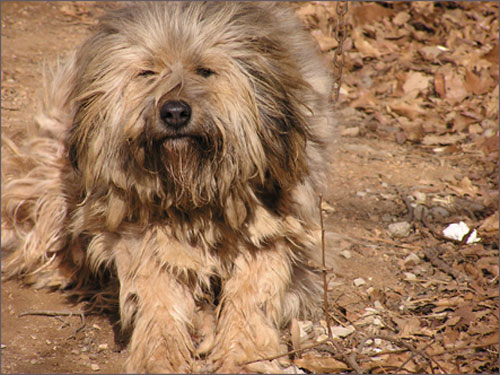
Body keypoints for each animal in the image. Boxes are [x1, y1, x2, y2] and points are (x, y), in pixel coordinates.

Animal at [2, 2, 336, 374]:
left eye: (205, 71)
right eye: (148, 73)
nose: (174, 112)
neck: (194, 191)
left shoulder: (271, 228)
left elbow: (253, 292)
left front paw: (246, 355)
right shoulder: (144, 232)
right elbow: (158, 294)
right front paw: (160, 354)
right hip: (53, 169)